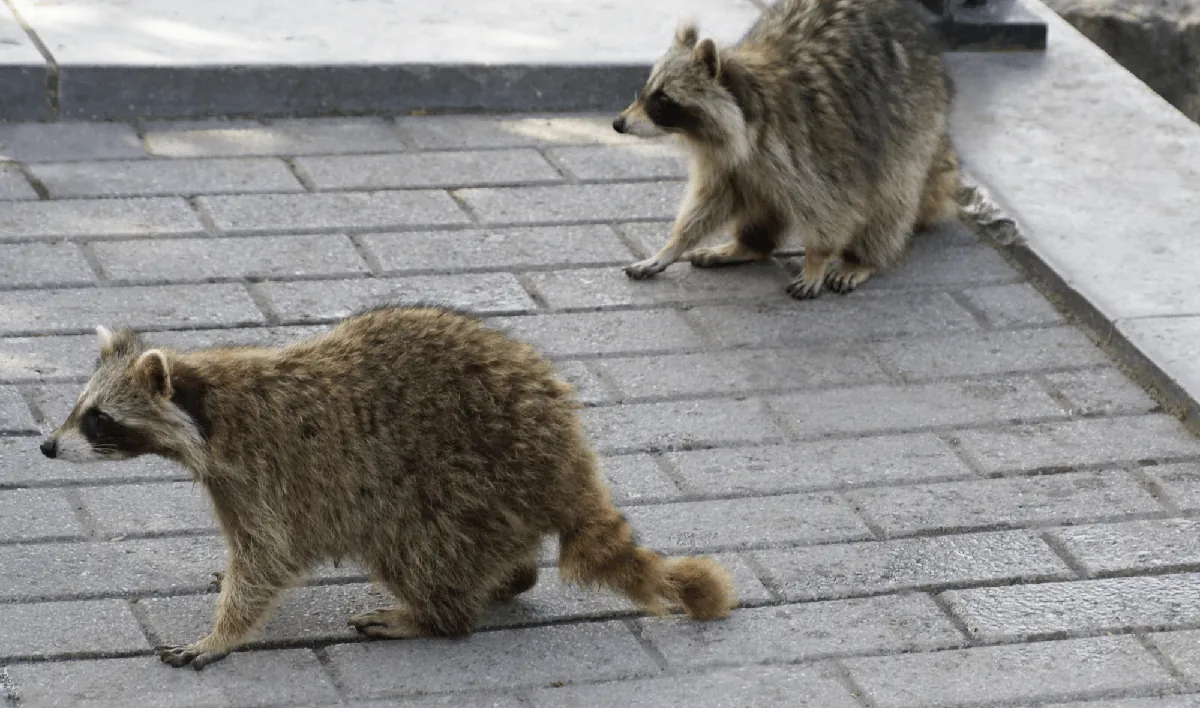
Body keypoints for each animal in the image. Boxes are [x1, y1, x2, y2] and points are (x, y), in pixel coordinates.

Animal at [39, 306, 736, 670]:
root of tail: (566, 458)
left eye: (98, 419)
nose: (46, 446)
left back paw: (430, 615)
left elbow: (268, 557)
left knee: (416, 547)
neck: (205, 401)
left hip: (462, 477)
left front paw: (223, 633)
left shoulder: (263, 469)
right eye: (77, 407)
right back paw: (507, 578)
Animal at [613, 0, 962, 299]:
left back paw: (862, 257)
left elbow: (833, 204)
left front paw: (818, 258)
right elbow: (710, 201)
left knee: (892, 196)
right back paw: (748, 245)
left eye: (661, 101)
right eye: (646, 91)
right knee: (760, 198)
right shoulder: (728, 161)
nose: (618, 124)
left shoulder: (815, 141)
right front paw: (673, 245)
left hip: (912, 123)